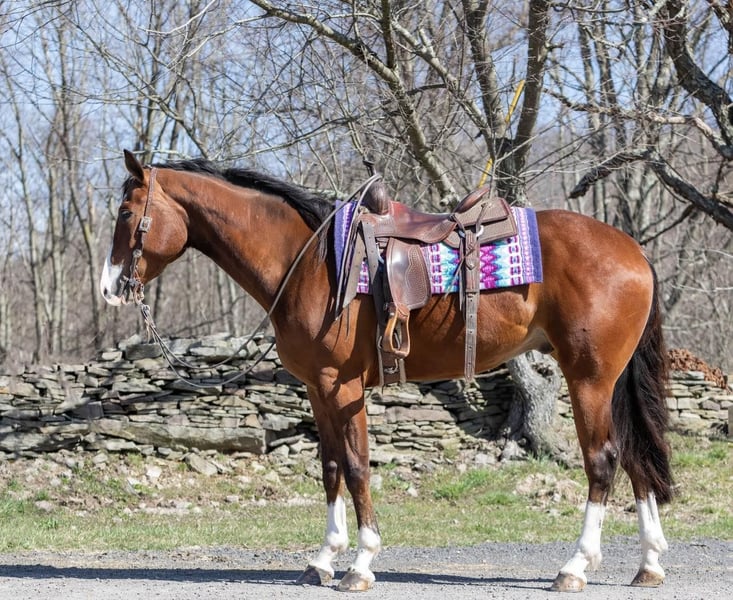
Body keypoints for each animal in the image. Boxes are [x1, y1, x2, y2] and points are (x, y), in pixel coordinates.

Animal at [100, 150, 673, 592]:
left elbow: (356, 468)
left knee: (602, 461)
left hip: (588, 380)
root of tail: (635, 252)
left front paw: (361, 563)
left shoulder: (342, 386)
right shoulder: (317, 389)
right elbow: (331, 467)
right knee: (635, 457)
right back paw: (648, 564)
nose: (109, 289)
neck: (308, 262)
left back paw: (575, 567)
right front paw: (322, 560)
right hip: (609, 381)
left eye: (127, 213)